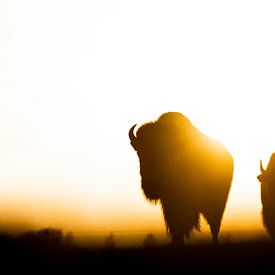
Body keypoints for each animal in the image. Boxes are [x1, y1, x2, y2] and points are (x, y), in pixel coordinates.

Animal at [129, 112, 235, 246]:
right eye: (139, 152)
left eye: (166, 151)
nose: (151, 181)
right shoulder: (168, 204)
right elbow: (175, 226)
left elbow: (181, 225)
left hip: (216, 204)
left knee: (214, 225)